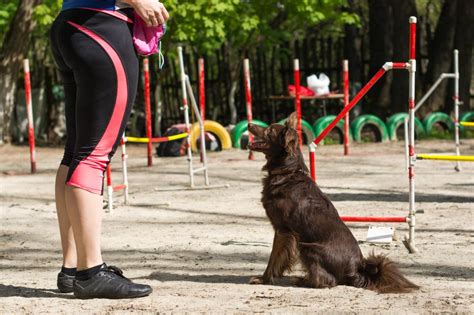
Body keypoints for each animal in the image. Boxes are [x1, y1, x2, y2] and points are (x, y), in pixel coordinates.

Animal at [248, 113, 418, 294]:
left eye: (270, 131)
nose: (249, 124)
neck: (288, 172)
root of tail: (357, 271)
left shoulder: (284, 231)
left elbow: (274, 257)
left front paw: (264, 279)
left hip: (307, 246)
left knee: (327, 281)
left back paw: (302, 280)